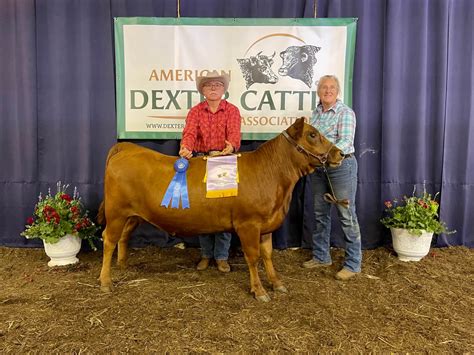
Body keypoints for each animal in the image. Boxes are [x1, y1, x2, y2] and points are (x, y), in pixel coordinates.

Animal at [98, 118, 342, 302]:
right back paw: (105, 282)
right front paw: (259, 290)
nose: (340, 153)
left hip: (133, 214)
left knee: (123, 236)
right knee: (109, 239)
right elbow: (253, 257)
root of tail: (127, 147)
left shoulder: (266, 225)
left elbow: (268, 255)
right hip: (116, 212)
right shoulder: (248, 224)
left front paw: (277, 283)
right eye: (312, 134)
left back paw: (122, 265)